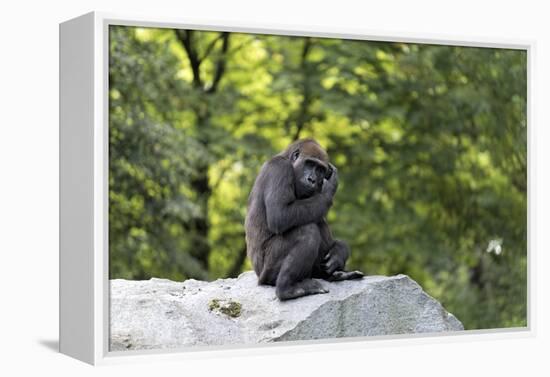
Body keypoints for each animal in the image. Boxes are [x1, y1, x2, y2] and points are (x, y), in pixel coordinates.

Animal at [247, 138, 366, 300]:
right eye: (309, 163)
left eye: (320, 169)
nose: (312, 180)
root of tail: (258, 277)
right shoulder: (279, 169)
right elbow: (280, 215)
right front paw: (329, 189)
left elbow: (316, 211)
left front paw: (339, 251)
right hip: (266, 273)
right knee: (307, 231)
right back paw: (287, 288)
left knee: (316, 221)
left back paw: (335, 274)